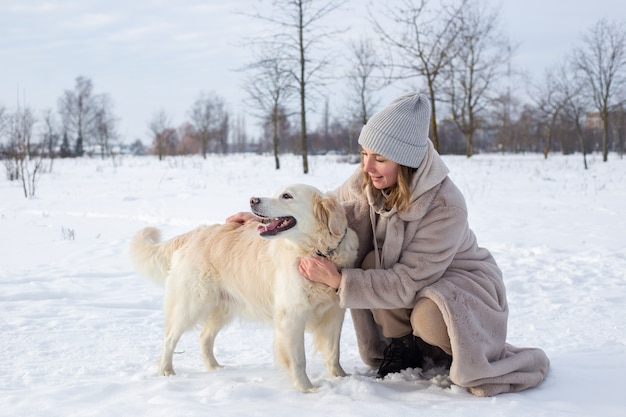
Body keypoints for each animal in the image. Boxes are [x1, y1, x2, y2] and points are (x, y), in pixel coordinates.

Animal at [129, 184, 358, 392]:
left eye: (286, 196)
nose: (252, 200)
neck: (316, 251)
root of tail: (195, 233)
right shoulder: (292, 315)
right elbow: (298, 358)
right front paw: (306, 388)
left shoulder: (335, 313)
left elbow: (333, 352)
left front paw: (341, 377)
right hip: (191, 304)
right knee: (169, 338)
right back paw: (166, 371)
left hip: (222, 307)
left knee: (204, 337)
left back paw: (214, 367)